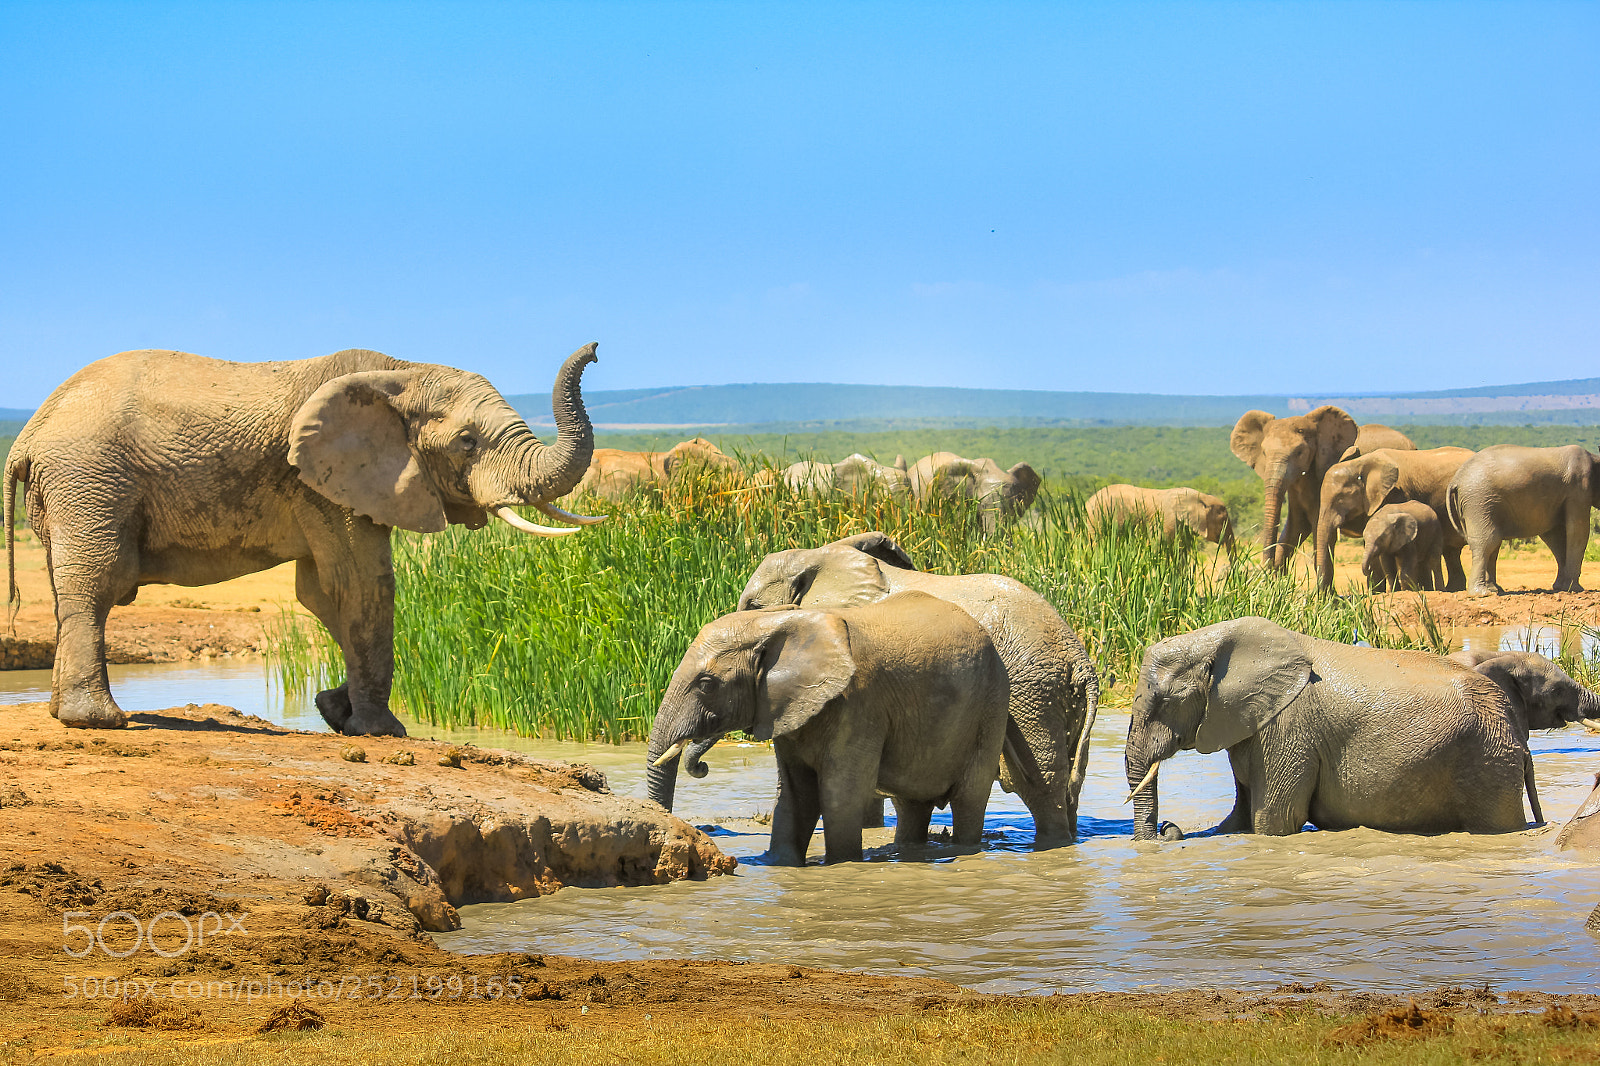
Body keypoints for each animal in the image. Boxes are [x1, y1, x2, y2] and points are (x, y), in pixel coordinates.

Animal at [3, 344, 602, 735]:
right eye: (467, 442)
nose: (595, 350)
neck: (400, 372)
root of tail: (29, 434)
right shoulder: (322, 481)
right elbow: (360, 586)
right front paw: (381, 731)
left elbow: (323, 593)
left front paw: (335, 709)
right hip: (89, 478)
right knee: (97, 584)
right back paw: (98, 722)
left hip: (69, 490)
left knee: (67, 590)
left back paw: (64, 713)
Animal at [645, 592, 1010, 865]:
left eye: (707, 685)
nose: (702, 766)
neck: (778, 623)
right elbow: (796, 796)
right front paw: (779, 864)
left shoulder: (859, 702)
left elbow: (839, 795)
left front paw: (841, 864)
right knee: (911, 805)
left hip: (991, 707)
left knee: (969, 798)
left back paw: (962, 851)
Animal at [729, 531, 1098, 845]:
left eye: (754, 607)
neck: (820, 556)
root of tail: (1079, 659)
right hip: (1059, 699)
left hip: (1030, 694)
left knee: (1039, 781)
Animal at [1124, 617, 1536, 839]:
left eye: (1164, 702)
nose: (1168, 828)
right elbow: (1240, 818)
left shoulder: (1288, 729)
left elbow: (1273, 822)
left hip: (1488, 761)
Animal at [1445, 444, 1600, 596]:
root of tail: (1455, 480)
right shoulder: (1578, 488)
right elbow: (1577, 530)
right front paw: (1575, 589)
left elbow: (1555, 538)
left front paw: (1560, 587)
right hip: (1478, 501)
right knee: (1488, 541)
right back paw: (1482, 593)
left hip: (1476, 504)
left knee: (1493, 542)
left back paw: (1494, 590)